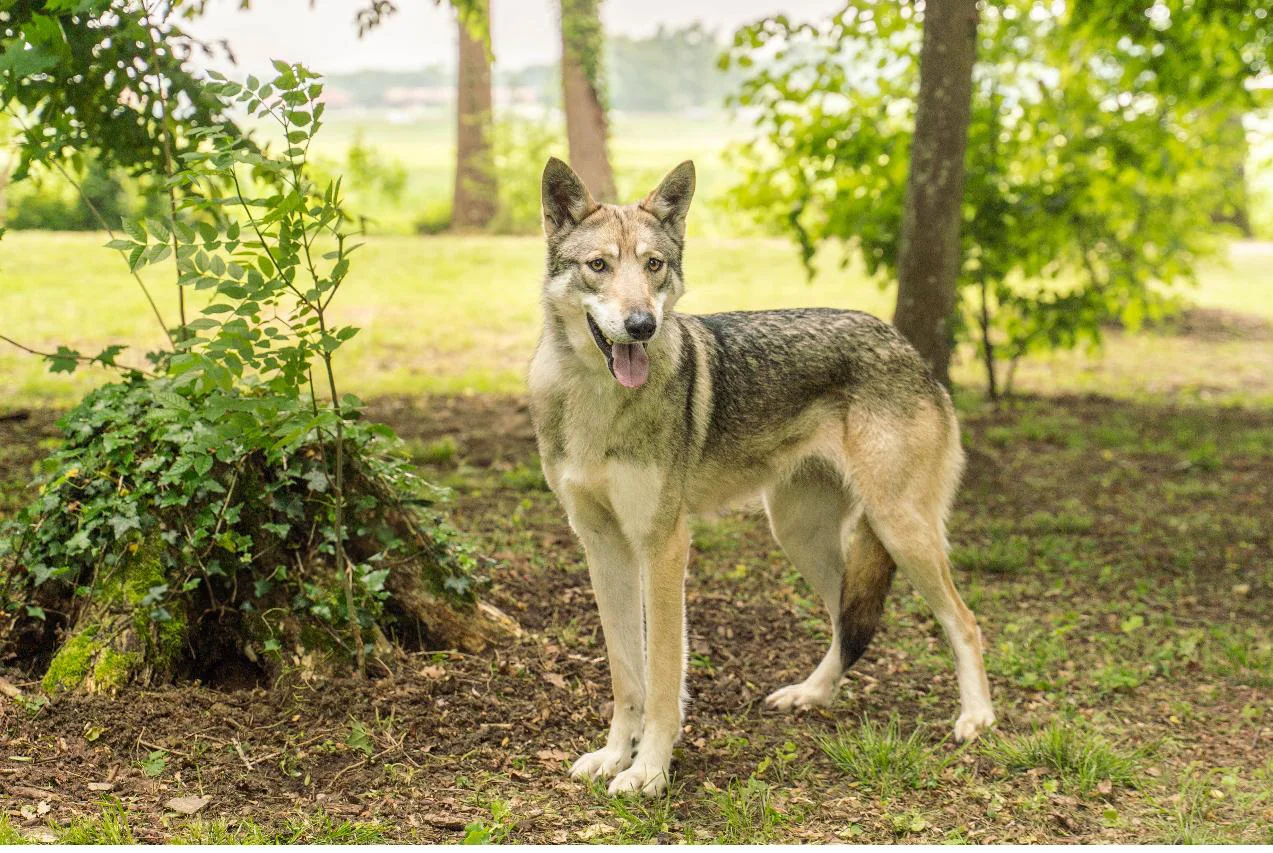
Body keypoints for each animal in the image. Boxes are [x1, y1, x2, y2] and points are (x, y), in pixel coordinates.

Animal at [528, 157, 996, 796]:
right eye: (598, 266)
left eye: (653, 266)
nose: (642, 325)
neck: (596, 400)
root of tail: (907, 346)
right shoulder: (602, 546)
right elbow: (627, 675)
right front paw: (613, 756)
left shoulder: (663, 546)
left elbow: (662, 678)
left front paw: (649, 771)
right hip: (801, 536)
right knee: (849, 623)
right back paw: (812, 695)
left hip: (900, 529)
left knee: (963, 621)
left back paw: (976, 718)